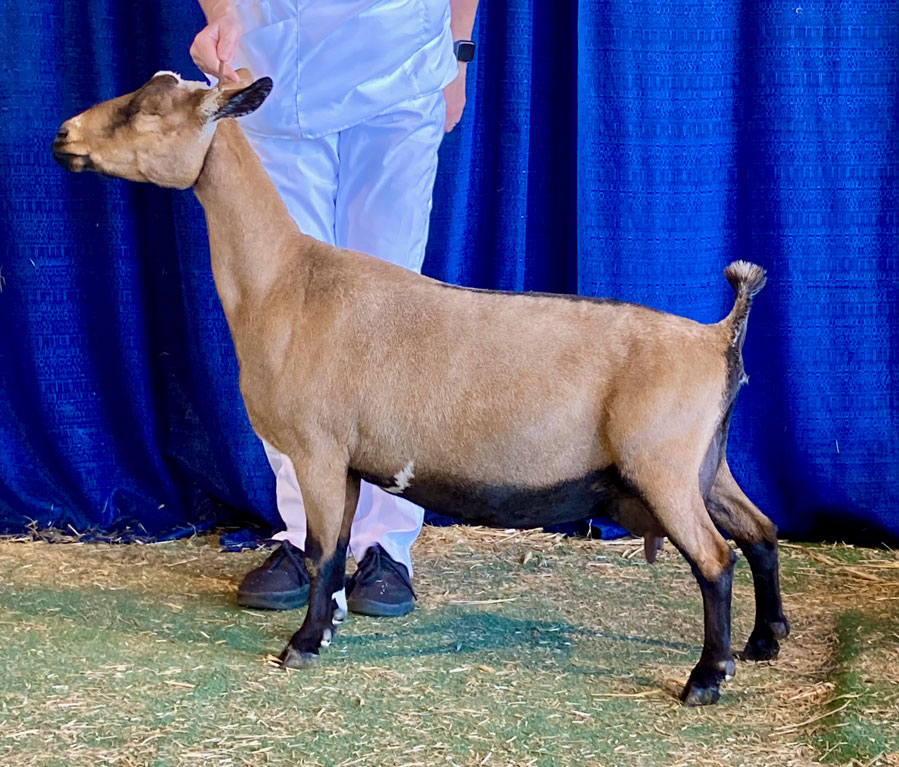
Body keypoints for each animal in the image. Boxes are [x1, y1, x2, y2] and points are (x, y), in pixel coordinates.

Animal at [54, 72, 788, 708]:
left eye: (146, 111)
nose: (63, 135)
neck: (286, 284)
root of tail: (717, 335)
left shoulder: (318, 449)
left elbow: (322, 552)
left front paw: (302, 644)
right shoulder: (347, 462)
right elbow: (336, 549)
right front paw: (329, 625)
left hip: (661, 466)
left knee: (714, 557)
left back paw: (706, 677)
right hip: (705, 463)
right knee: (759, 529)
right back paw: (765, 640)